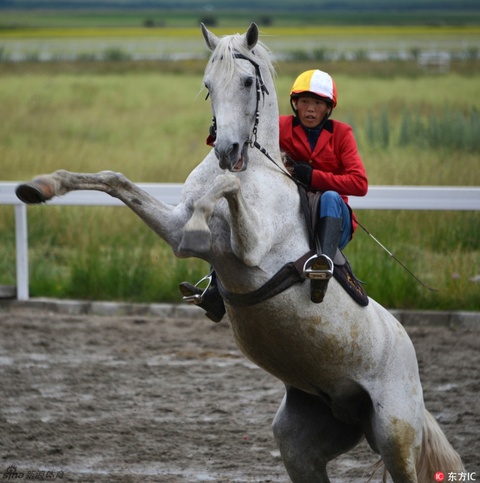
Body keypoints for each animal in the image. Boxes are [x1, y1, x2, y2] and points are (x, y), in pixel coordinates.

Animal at [16, 23, 464, 483]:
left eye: (249, 82)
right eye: (208, 85)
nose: (227, 151)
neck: (256, 169)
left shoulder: (250, 248)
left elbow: (223, 188)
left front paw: (204, 218)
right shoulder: (172, 227)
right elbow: (115, 179)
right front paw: (41, 186)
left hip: (395, 434)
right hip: (302, 442)